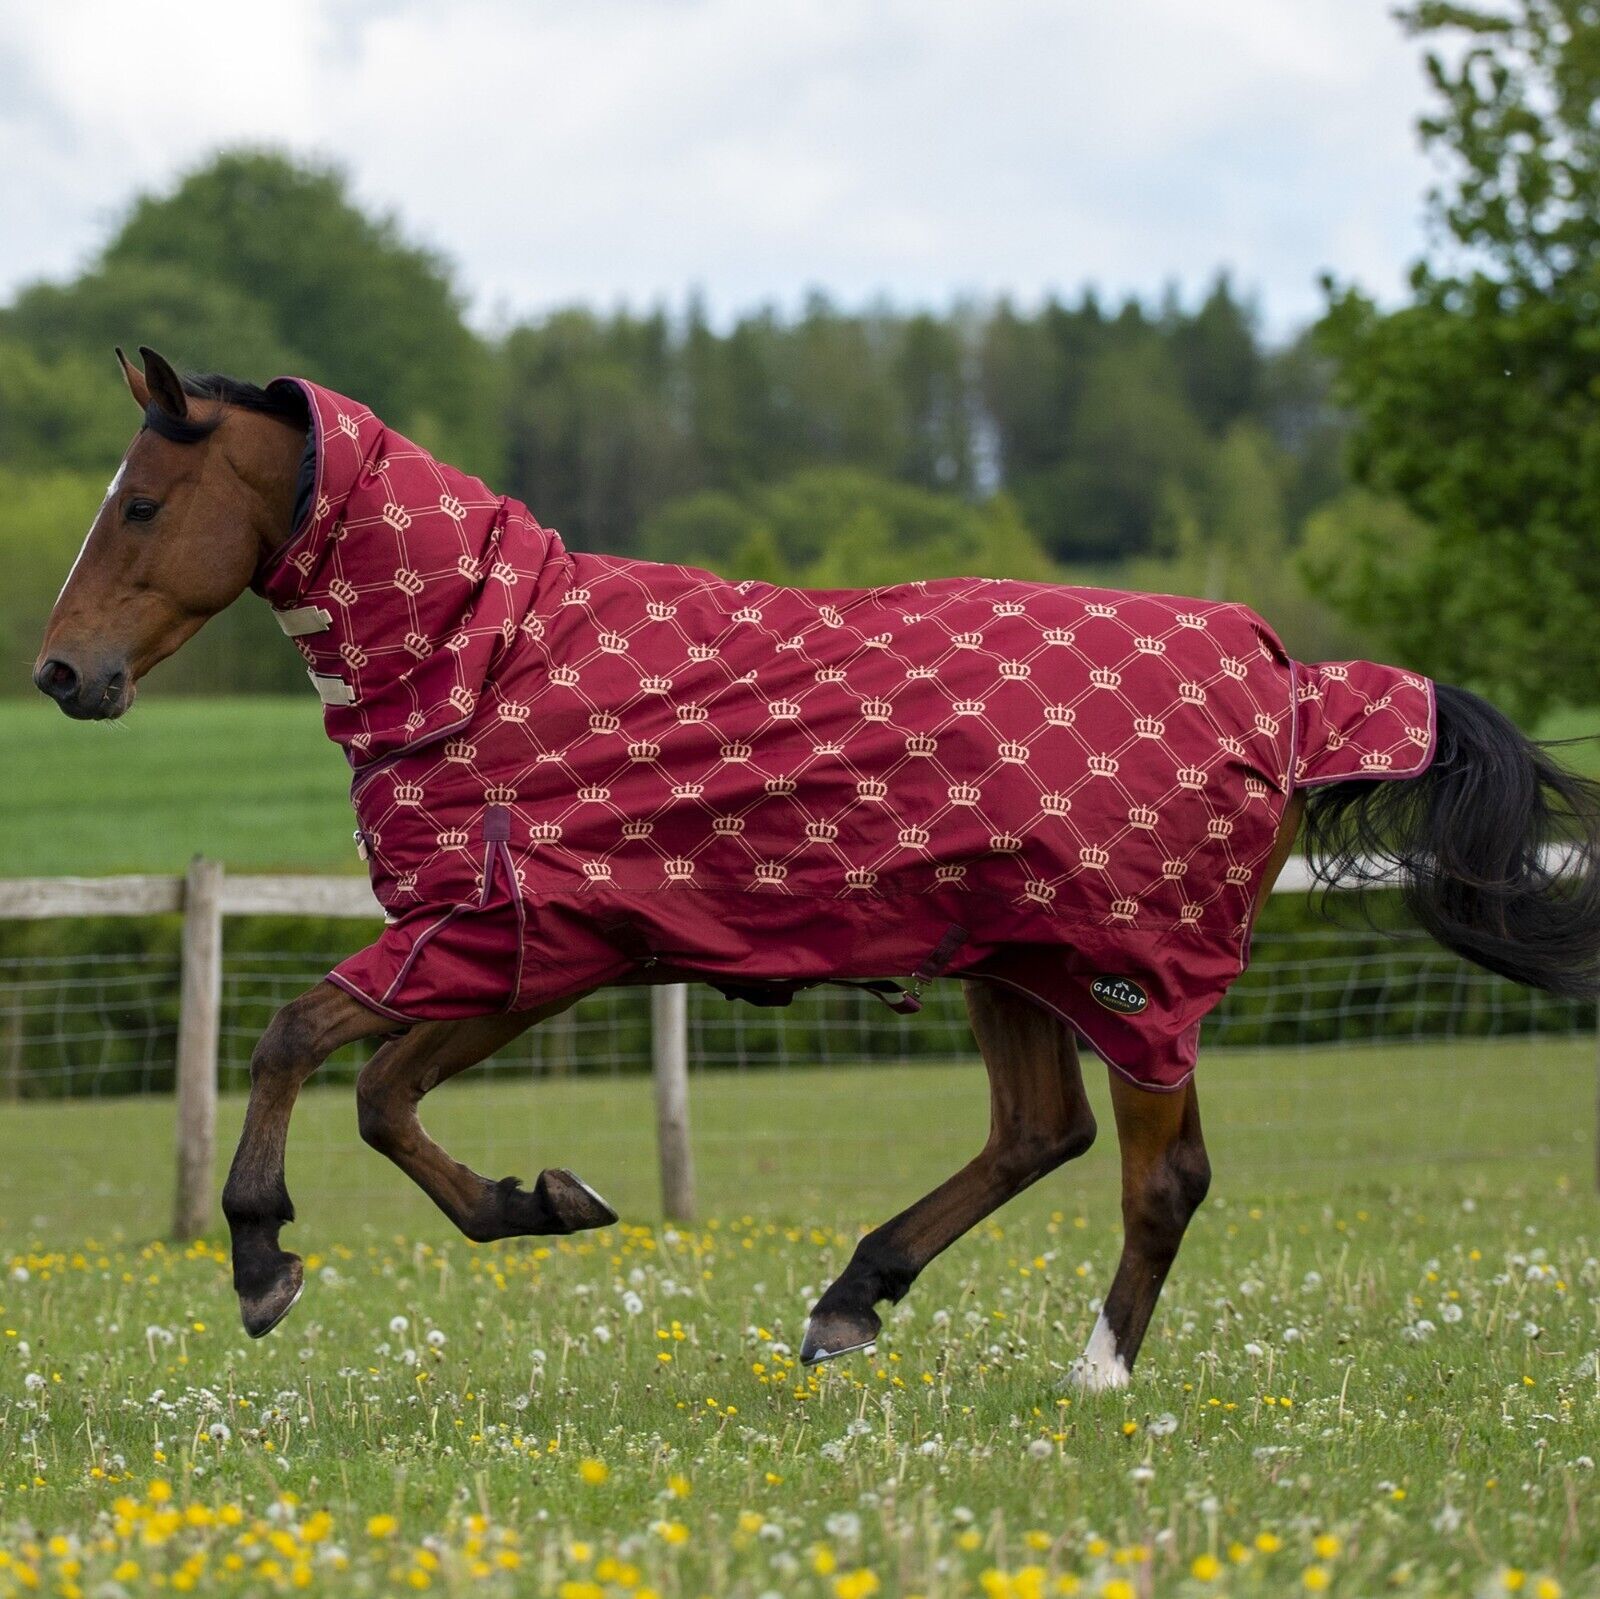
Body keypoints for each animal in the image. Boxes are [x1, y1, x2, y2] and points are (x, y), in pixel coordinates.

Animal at [33, 347, 1600, 1389]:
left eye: (139, 505)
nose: (61, 673)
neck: (492, 654)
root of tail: (1293, 683)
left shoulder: (498, 937)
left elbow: (298, 1041)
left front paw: (260, 1259)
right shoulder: (540, 948)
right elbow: (379, 1097)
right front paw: (539, 1202)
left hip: (1135, 972)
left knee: (1160, 1176)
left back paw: (1093, 1372)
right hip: (1015, 956)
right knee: (1039, 1133)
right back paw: (854, 1295)